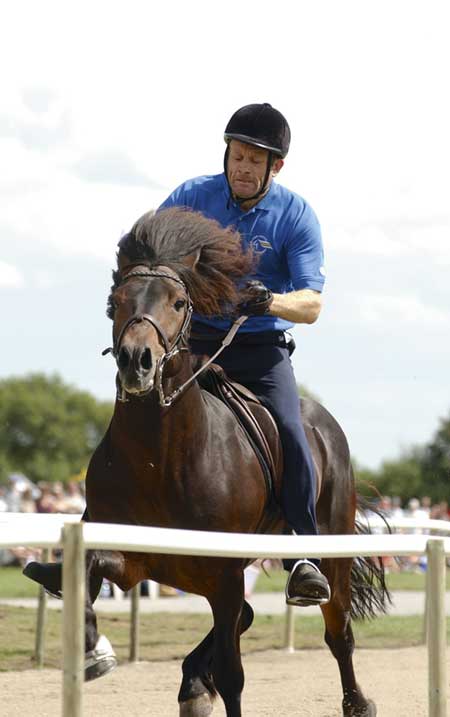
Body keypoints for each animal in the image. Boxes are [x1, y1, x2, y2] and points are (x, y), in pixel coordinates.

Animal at [26, 207, 388, 716]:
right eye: (115, 301)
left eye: (179, 302)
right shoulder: (130, 557)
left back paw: (355, 701)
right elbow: (85, 580)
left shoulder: (224, 574)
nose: (136, 361)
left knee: (338, 634)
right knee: (246, 620)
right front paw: (95, 651)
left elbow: (235, 676)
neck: (159, 458)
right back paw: (194, 682)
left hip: (325, 558)